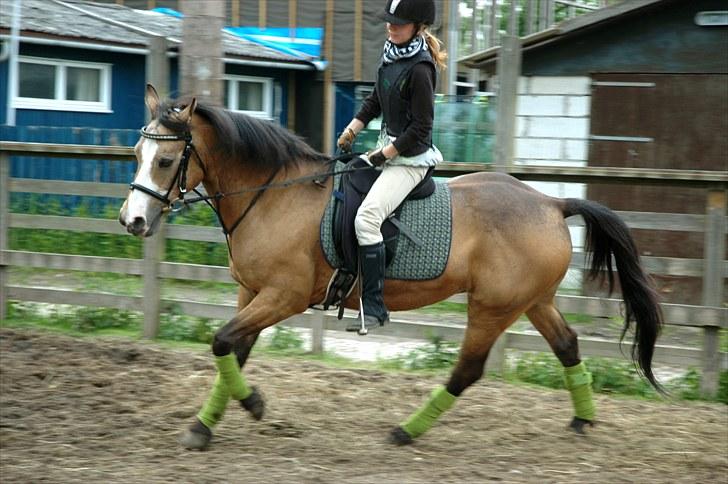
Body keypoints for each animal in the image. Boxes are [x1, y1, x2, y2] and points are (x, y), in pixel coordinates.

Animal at [121, 84, 664, 450]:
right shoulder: (251, 294)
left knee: (468, 369)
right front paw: (203, 426)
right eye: (136, 153)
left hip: (492, 307)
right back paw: (582, 420)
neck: (272, 195)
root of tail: (551, 203)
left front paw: (252, 404)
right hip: (533, 301)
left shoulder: (283, 296)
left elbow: (222, 343)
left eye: (166, 161)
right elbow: (232, 350)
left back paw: (406, 430)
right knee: (567, 346)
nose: (132, 220)